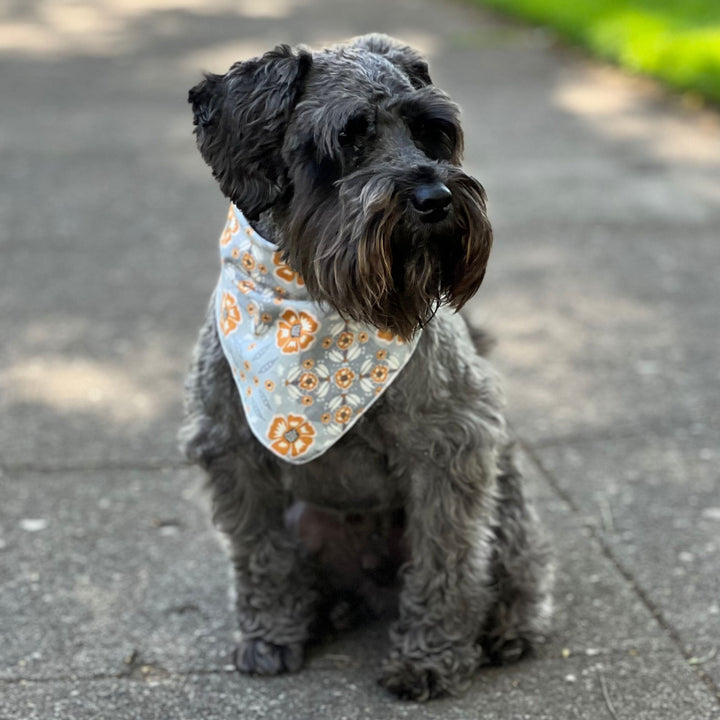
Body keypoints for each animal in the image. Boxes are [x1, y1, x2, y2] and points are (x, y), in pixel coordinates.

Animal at [180, 35, 552, 704]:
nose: (437, 199)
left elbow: (446, 563)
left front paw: (430, 658)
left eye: (432, 133)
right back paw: (322, 612)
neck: (318, 301)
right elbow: (260, 556)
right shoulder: (233, 455)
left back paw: (508, 629)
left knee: (516, 568)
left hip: (507, 504)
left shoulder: (451, 449)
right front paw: (270, 635)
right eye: (348, 137)